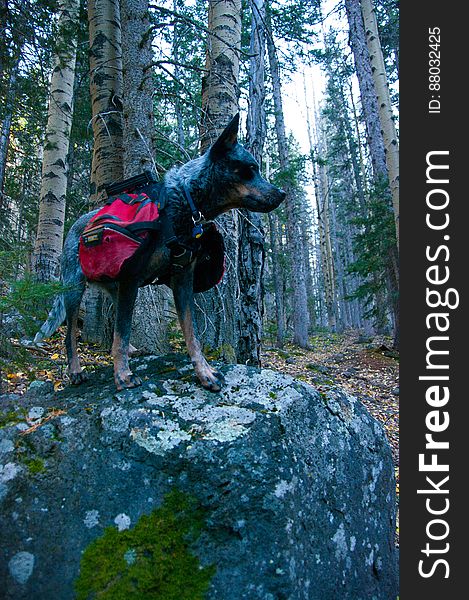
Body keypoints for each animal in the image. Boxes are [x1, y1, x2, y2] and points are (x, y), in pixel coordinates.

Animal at [33, 114, 286, 392]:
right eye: (250, 168)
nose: (282, 193)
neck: (183, 203)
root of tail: (75, 228)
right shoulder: (131, 278)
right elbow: (121, 332)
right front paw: (123, 375)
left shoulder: (182, 280)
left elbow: (191, 335)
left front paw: (204, 373)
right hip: (74, 291)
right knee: (71, 335)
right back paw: (76, 371)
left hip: (115, 288)